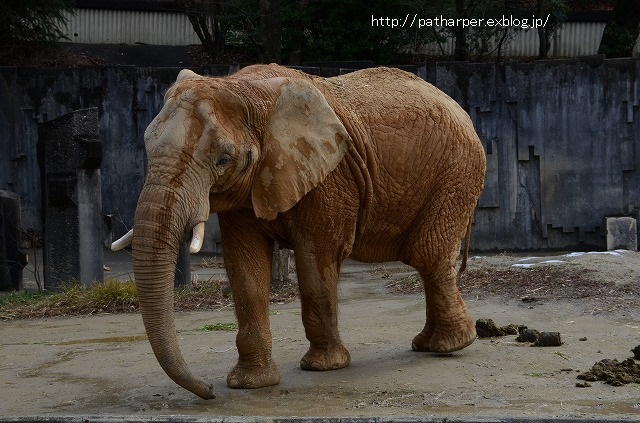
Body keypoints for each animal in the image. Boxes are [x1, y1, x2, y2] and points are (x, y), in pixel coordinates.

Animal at [114, 63, 484, 400]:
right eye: (147, 147)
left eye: (223, 160)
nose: (208, 391)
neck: (244, 89)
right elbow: (244, 266)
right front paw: (249, 383)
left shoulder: (330, 177)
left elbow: (315, 257)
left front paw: (324, 367)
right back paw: (426, 344)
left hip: (457, 174)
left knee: (427, 254)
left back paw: (448, 346)